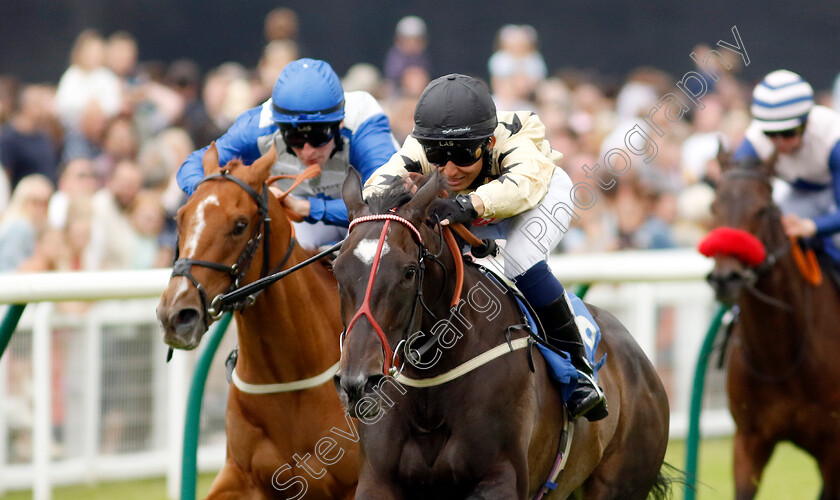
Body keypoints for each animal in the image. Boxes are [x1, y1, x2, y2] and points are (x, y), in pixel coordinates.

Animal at [332, 170, 672, 498]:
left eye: (409, 272)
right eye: (337, 270)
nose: (359, 383)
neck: (430, 390)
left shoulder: (501, 477)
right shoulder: (377, 480)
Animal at [704, 150, 840, 498]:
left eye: (762, 208)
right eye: (714, 206)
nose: (726, 278)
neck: (781, 356)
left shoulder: (833, 448)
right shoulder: (749, 439)